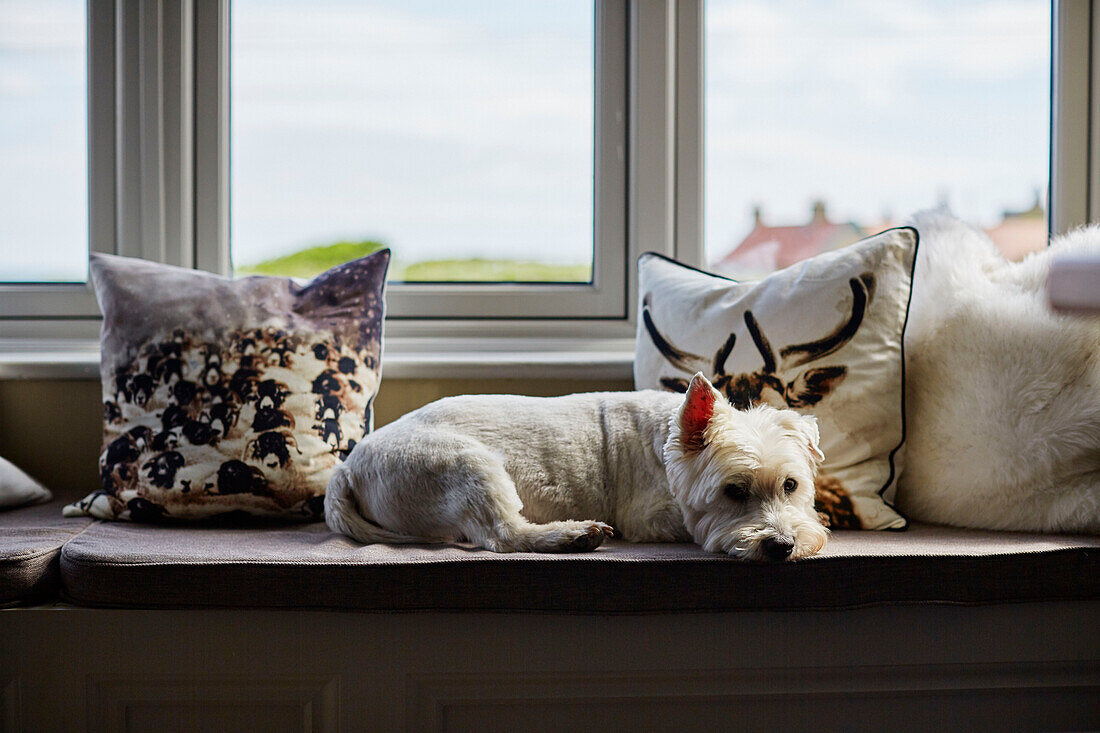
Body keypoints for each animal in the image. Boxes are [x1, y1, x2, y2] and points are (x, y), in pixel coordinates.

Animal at [323, 372, 827, 559]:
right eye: (733, 491)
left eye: (790, 485)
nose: (783, 545)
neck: (665, 441)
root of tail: (347, 469)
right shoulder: (646, 515)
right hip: (466, 465)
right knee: (504, 533)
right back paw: (574, 533)